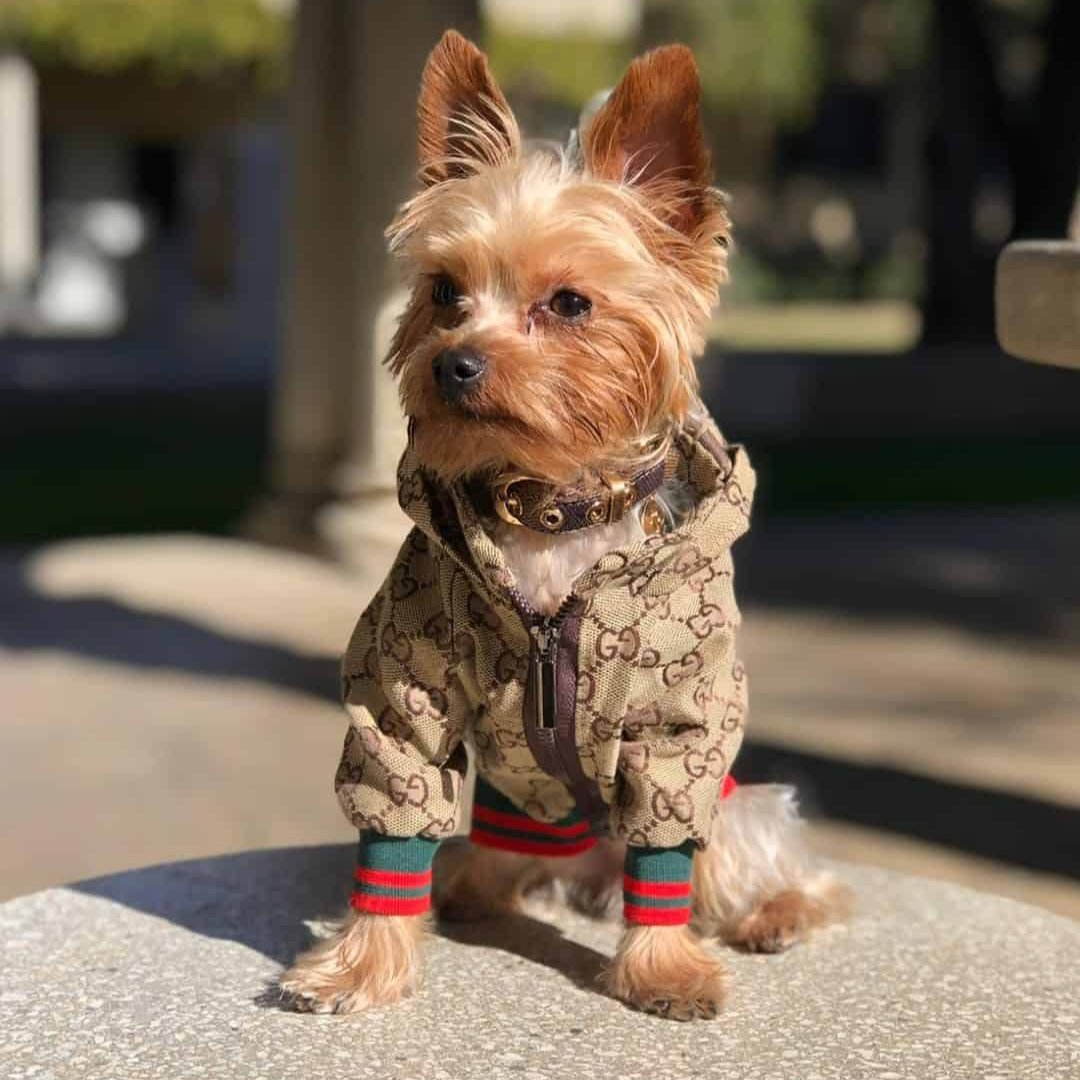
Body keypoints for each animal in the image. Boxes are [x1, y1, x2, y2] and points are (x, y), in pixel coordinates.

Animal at [278, 27, 842, 1019]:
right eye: (443, 291)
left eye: (571, 303)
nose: (452, 364)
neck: (549, 507)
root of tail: (584, 863)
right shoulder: (402, 689)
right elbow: (394, 800)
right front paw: (360, 964)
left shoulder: (677, 723)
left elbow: (667, 837)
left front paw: (663, 971)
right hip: (520, 813)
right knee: (500, 860)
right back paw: (467, 883)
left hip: (736, 807)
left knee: (772, 863)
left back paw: (774, 914)